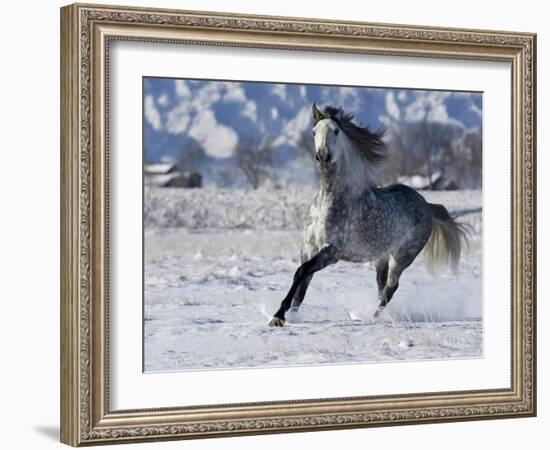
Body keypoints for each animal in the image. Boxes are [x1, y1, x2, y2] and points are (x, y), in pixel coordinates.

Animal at [270, 103, 468, 326]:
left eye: (335, 131)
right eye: (314, 131)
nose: (323, 157)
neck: (331, 198)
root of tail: (427, 205)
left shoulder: (331, 252)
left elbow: (301, 272)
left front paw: (279, 316)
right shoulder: (308, 248)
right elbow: (302, 285)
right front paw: (290, 315)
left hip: (402, 256)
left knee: (391, 288)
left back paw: (374, 317)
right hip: (381, 256)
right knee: (381, 286)